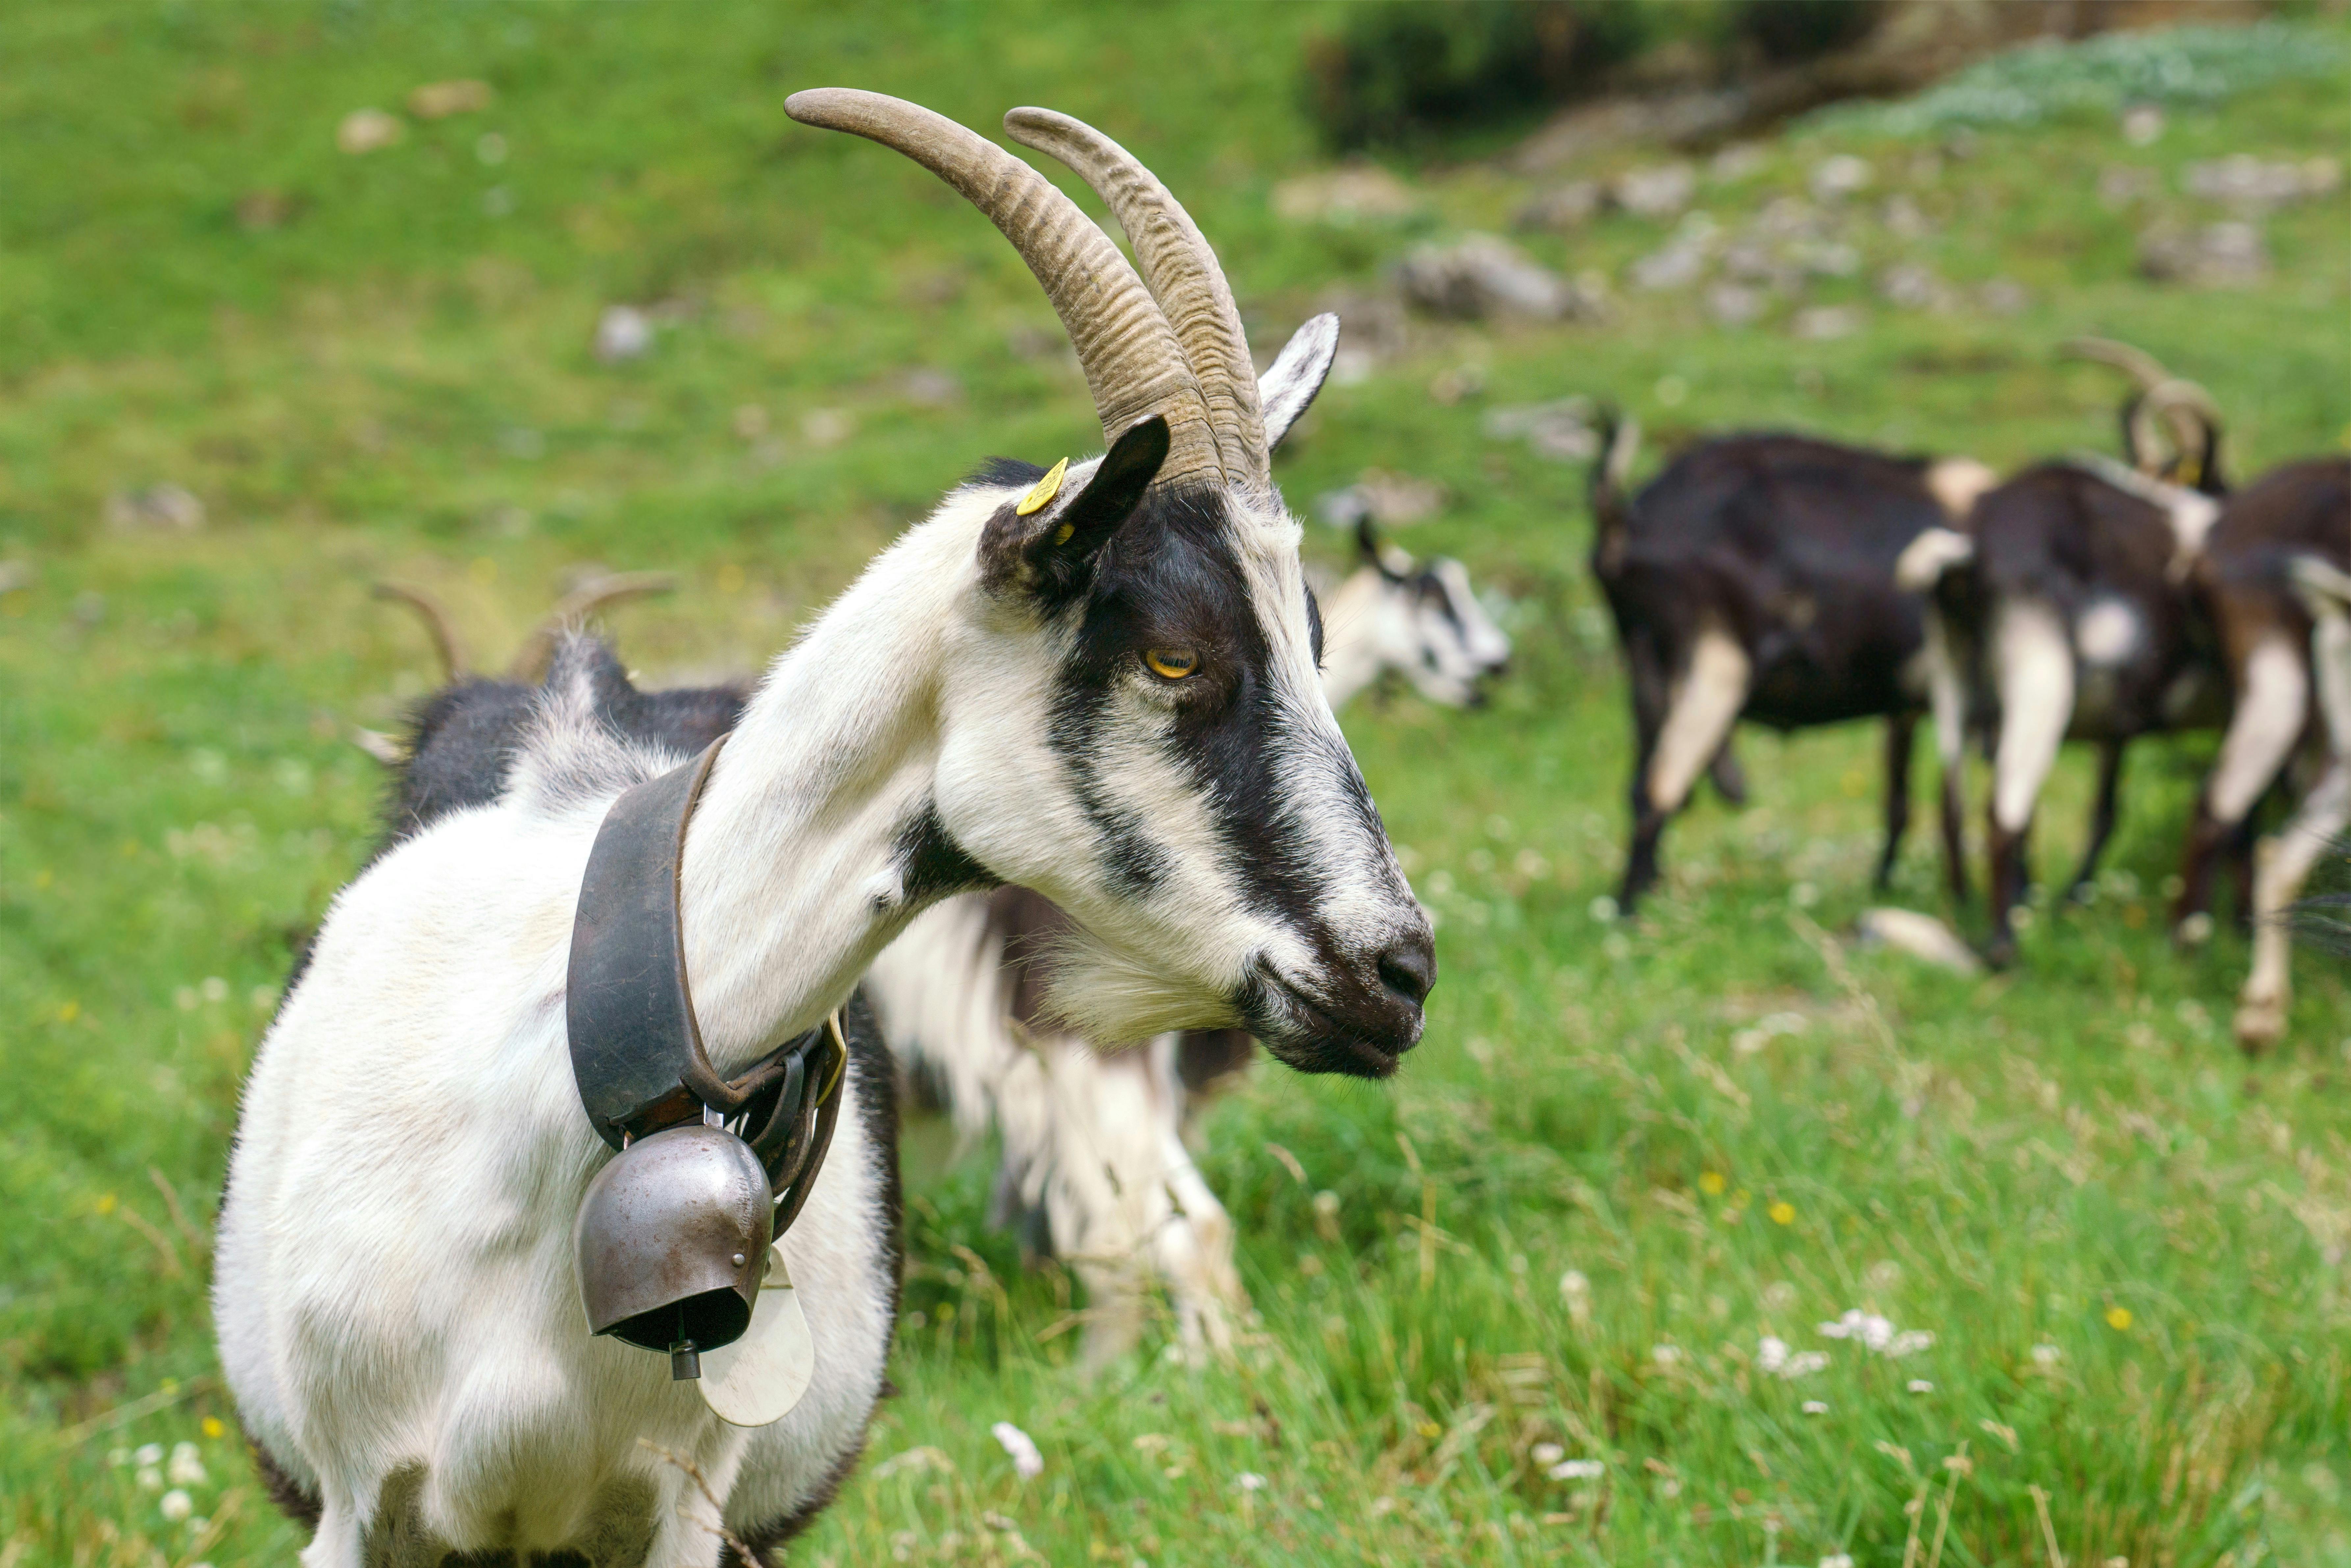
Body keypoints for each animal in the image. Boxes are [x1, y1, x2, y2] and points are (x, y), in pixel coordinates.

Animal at [216, 91, 1434, 1567]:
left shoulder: (690, 1500)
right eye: (1174, 655)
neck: (546, 1103)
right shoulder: (347, 1498)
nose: (1398, 973)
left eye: (1317, 638)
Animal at [1589, 414, 1995, 912]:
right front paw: (1963, 901)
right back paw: (1631, 912)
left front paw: (1882, 885)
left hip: (1647, 668)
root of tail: (1624, 527)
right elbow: (1948, 804)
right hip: (1716, 664)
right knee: (1660, 786)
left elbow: (1898, 799)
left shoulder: (1905, 700)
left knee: (1642, 784)